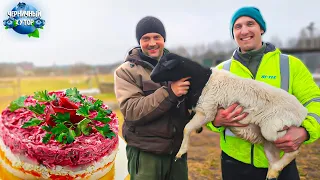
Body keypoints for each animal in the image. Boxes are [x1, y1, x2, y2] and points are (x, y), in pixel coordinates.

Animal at [150, 54, 308, 180]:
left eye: (164, 65)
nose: (151, 76)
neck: (202, 79)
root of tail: (303, 112)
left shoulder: (207, 111)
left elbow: (187, 129)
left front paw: (181, 152)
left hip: (274, 129)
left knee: (293, 150)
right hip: (268, 142)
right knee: (274, 160)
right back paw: (272, 173)